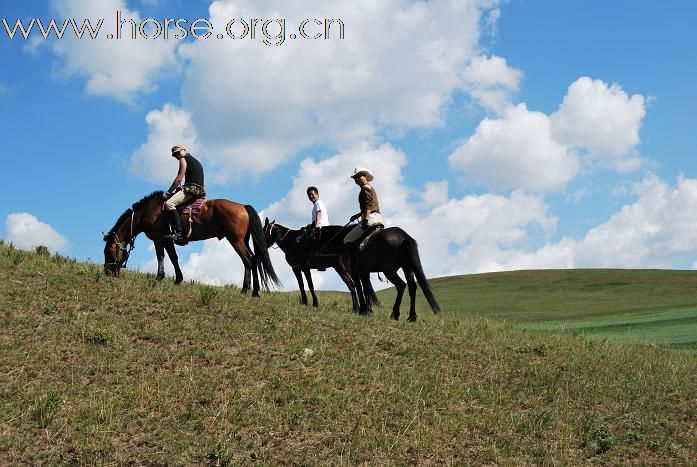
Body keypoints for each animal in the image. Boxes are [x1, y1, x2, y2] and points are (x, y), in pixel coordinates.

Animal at [103, 191, 280, 296]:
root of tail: (243, 206)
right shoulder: (168, 240)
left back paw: (245, 289)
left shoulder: (159, 239)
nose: (107, 271)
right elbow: (173, 258)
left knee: (248, 259)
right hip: (243, 240)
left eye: (108, 252)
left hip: (235, 240)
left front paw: (159, 278)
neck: (148, 212)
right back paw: (255, 291)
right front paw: (178, 279)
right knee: (255, 258)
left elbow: (162, 257)